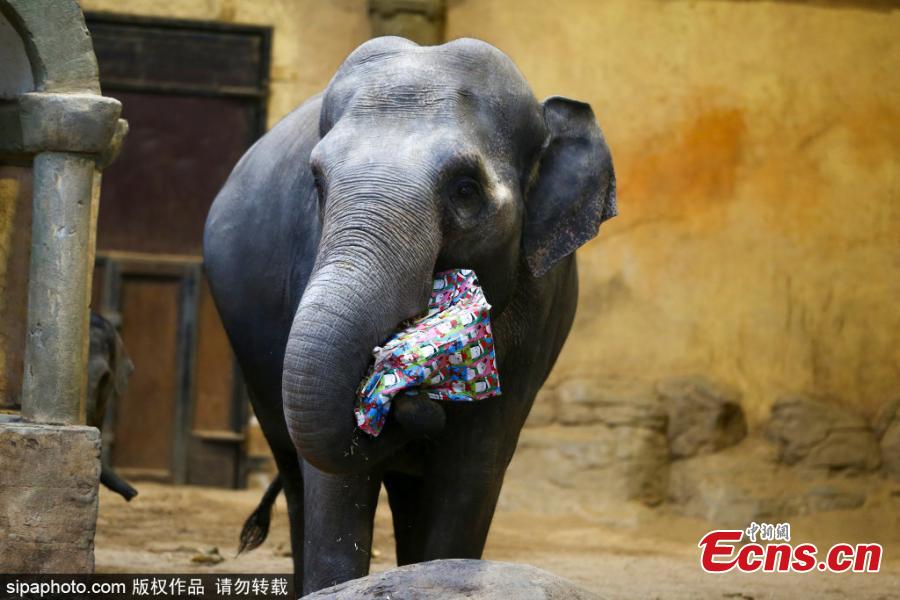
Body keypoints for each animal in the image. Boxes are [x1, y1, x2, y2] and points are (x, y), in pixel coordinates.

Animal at [203, 36, 616, 594]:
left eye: (465, 189)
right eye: (317, 183)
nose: (407, 397)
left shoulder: (537, 313)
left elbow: (471, 471)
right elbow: (333, 482)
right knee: (294, 471)